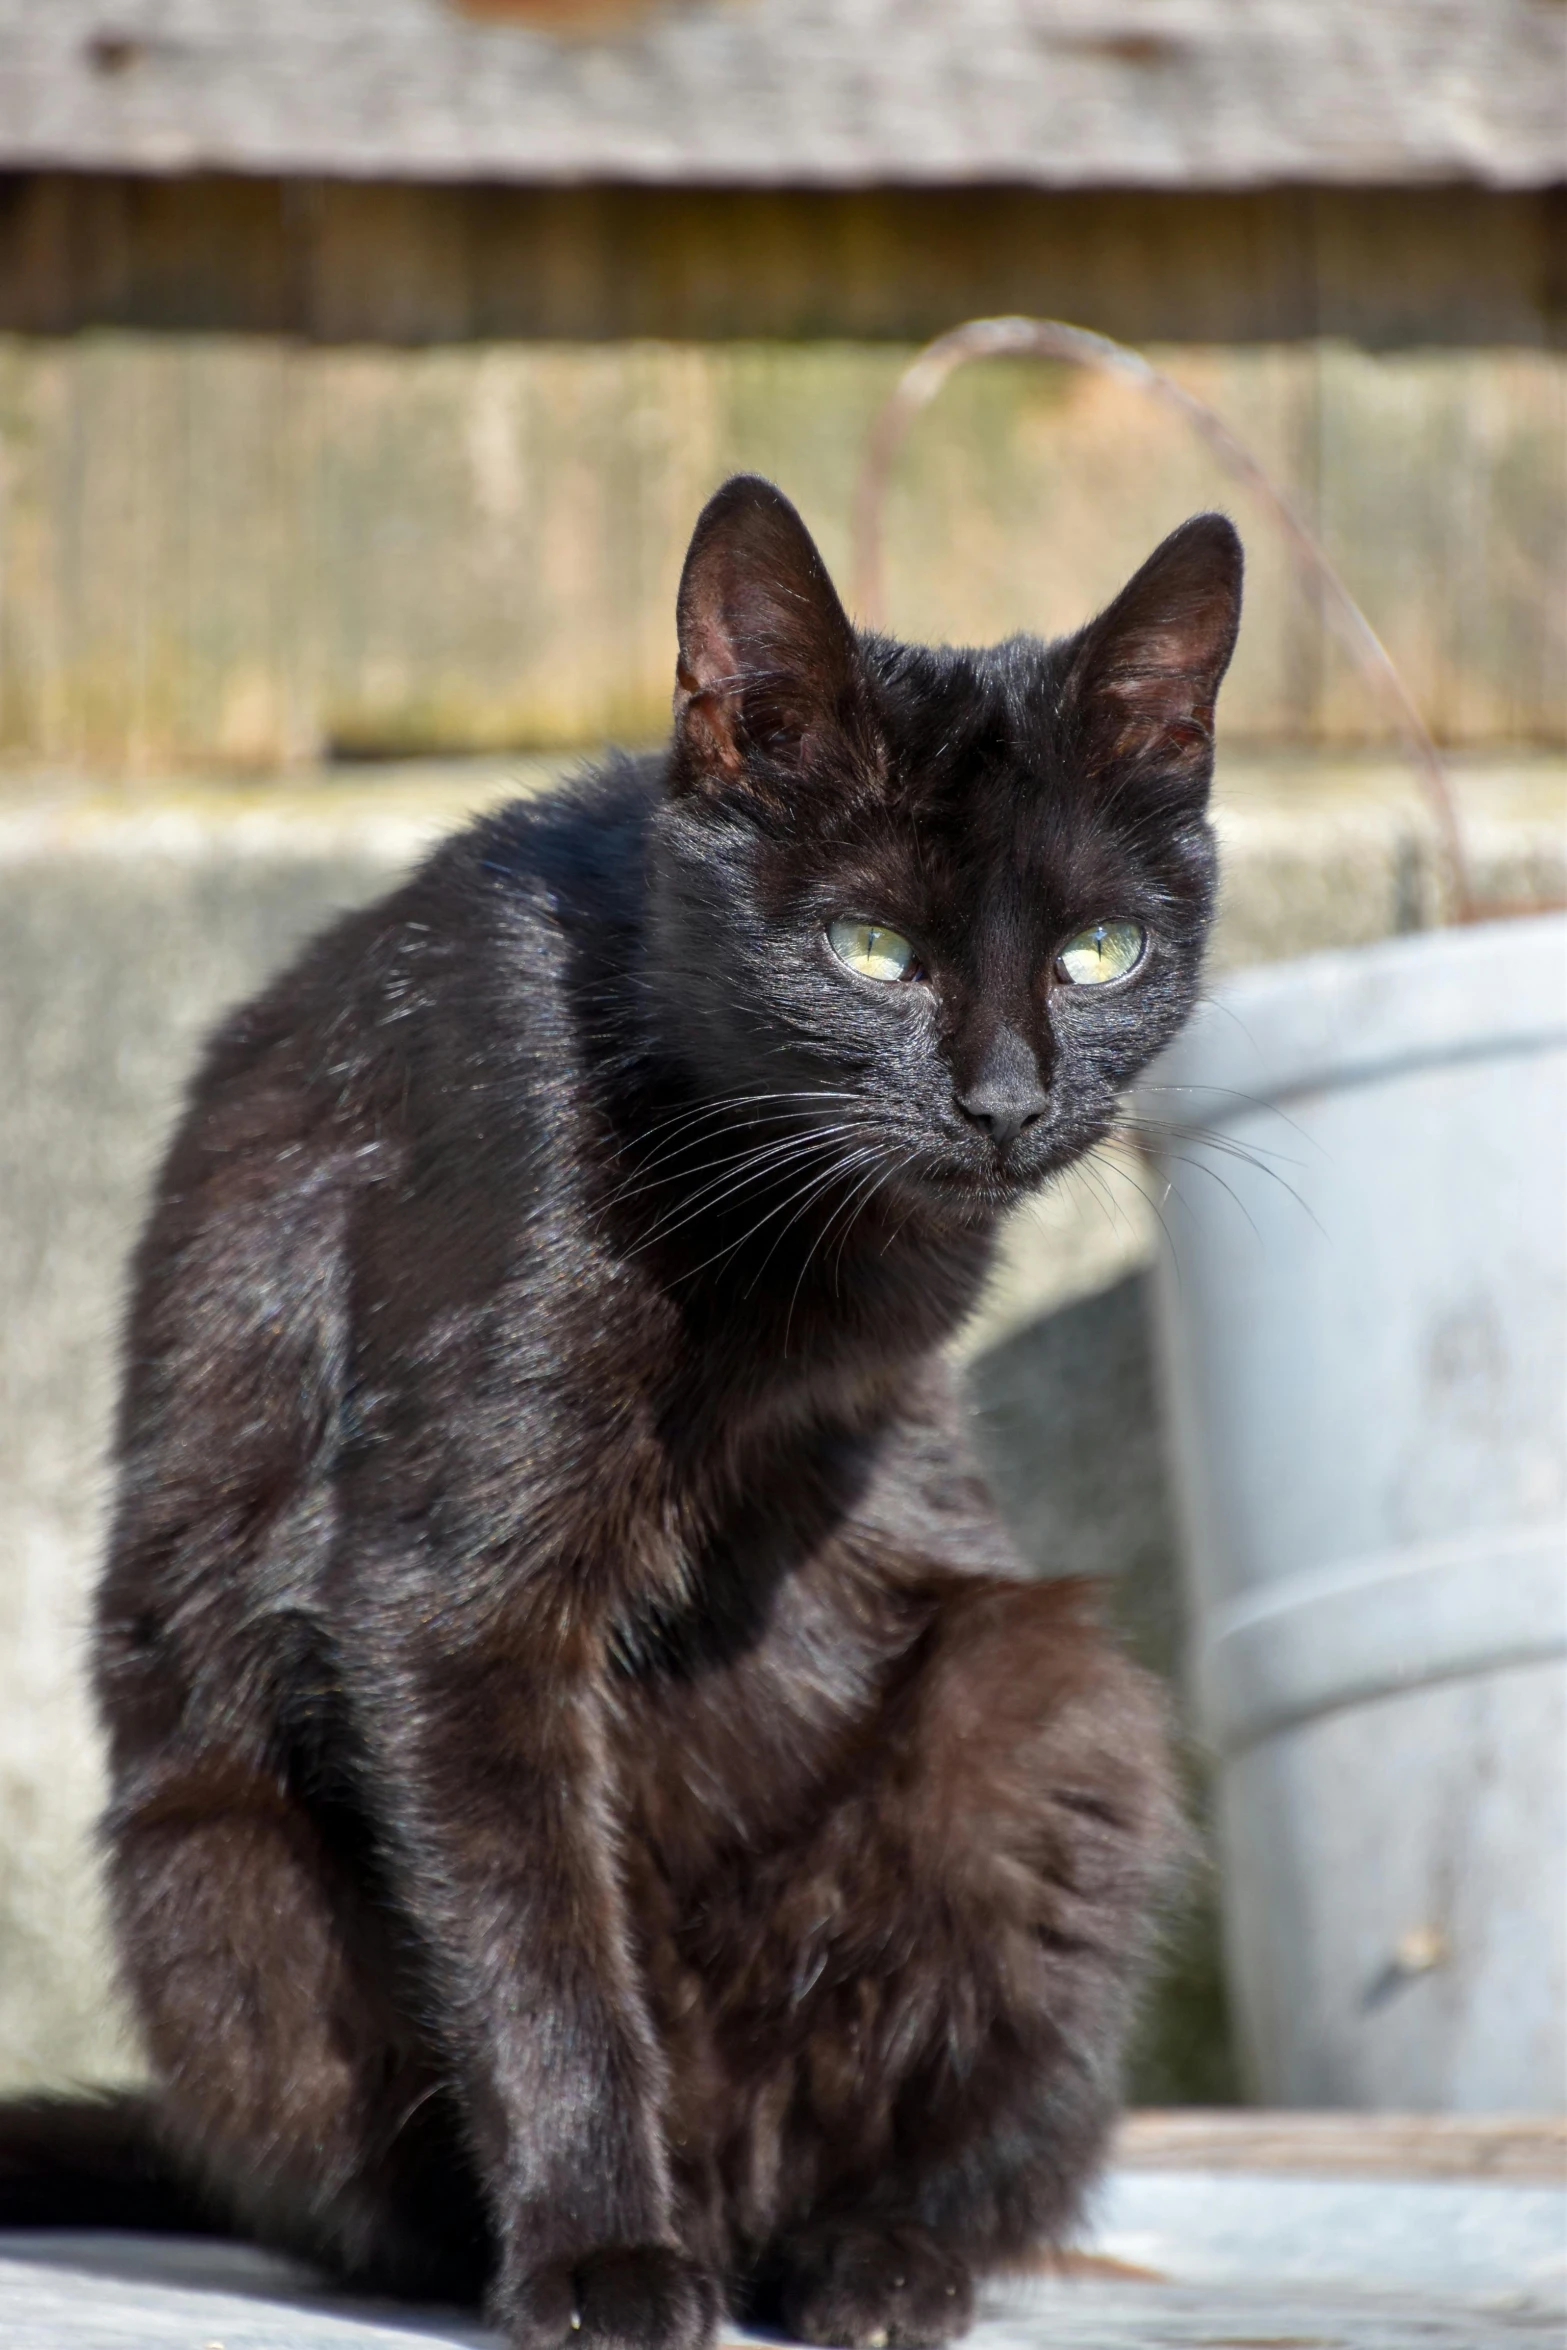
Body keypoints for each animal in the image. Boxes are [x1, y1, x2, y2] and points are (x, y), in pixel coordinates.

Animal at [6, 477, 1240, 2350]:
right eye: (867, 949)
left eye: (1102, 955)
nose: (1004, 1102)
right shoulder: (448, 1600)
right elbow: (535, 1942)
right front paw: (596, 2262)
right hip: (215, 1870)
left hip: (1046, 1696)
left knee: (1004, 2135)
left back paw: (877, 2260)